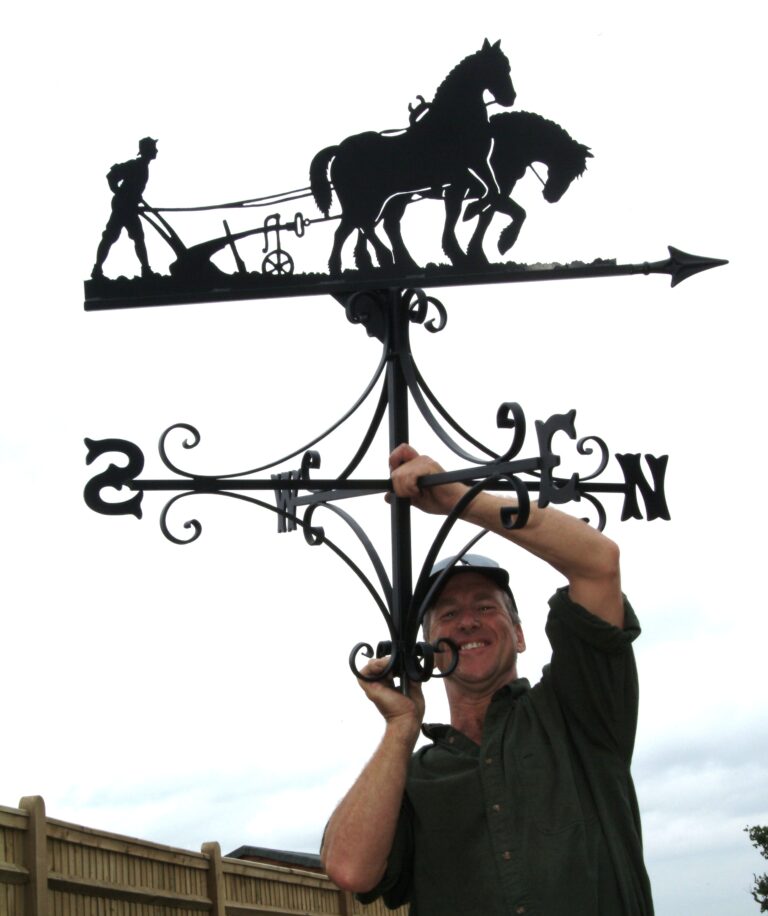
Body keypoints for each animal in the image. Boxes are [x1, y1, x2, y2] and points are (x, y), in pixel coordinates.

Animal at [308, 40, 516, 276]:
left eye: (507, 67)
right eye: (496, 67)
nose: (510, 98)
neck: (451, 122)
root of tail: (339, 149)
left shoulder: (477, 166)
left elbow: (490, 193)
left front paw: (465, 248)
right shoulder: (459, 175)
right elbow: (479, 194)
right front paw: (470, 222)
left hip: (383, 200)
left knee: (356, 228)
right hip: (365, 201)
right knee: (362, 225)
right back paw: (384, 258)